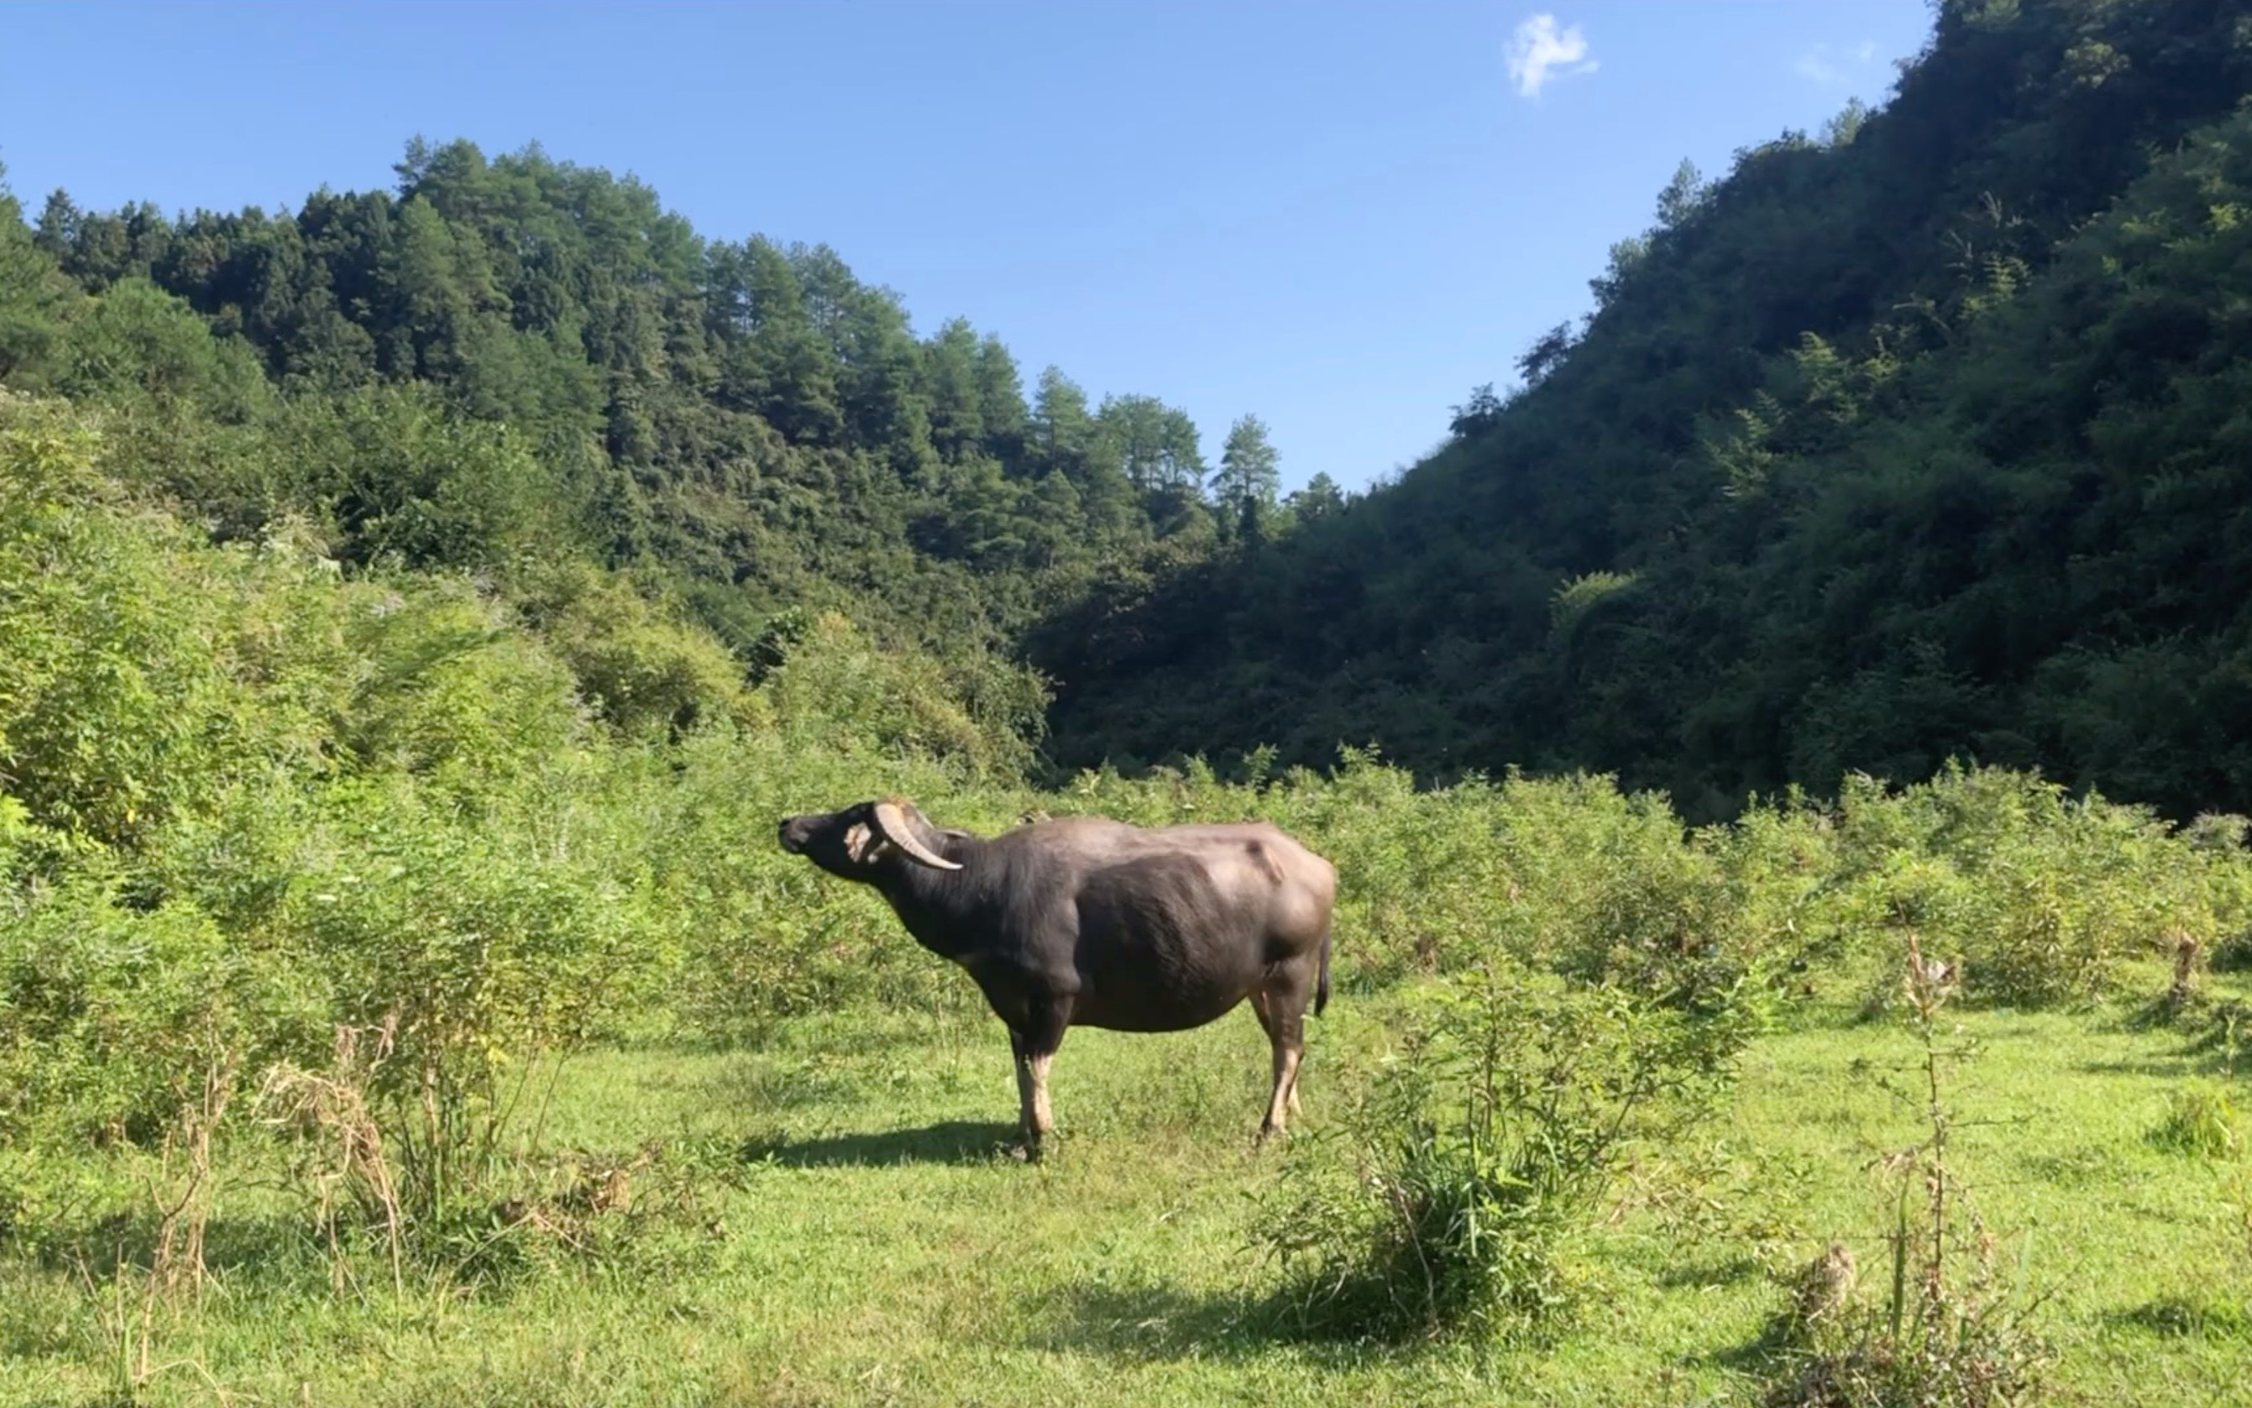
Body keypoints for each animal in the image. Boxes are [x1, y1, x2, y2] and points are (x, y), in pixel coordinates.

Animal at [779, 792, 1333, 1153]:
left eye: (849, 814)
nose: (788, 824)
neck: (981, 887)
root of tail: (1321, 868)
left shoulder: (1055, 998)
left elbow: (1039, 1065)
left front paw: (1043, 1137)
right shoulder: (1012, 1007)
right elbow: (1021, 1068)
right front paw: (1020, 1135)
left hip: (1291, 973)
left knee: (1288, 1049)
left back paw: (1269, 1128)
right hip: (1261, 987)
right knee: (1288, 1044)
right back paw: (1295, 1114)